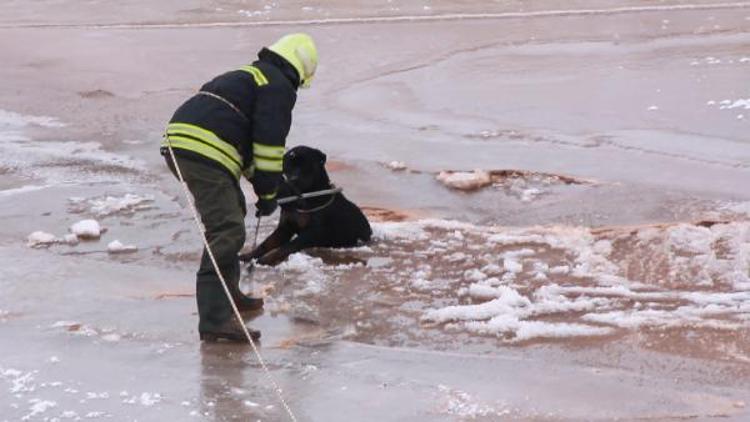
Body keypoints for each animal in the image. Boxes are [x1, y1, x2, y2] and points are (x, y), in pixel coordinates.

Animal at [239, 145, 372, 264]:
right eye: (287, 166)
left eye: (306, 165)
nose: (293, 179)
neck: (304, 197)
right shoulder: (285, 228)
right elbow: (266, 243)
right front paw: (248, 255)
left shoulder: (312, 232)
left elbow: (287, 246)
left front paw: (267, 259)